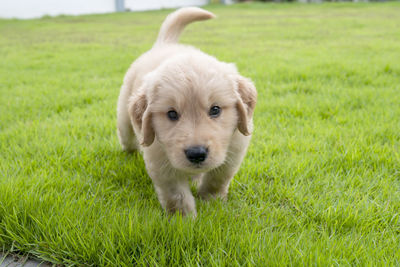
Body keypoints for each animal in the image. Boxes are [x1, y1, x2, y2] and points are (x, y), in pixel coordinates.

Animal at [117, 6, 258, 218]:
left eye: (215, 109)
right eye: (171, 114)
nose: (196, 154)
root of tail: (164, 44)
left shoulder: (234, 148)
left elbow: (217, 179)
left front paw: (211, 202)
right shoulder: (160, 160)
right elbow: (177, 194)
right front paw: (182, 219)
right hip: (125, 117)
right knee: (127, 138)